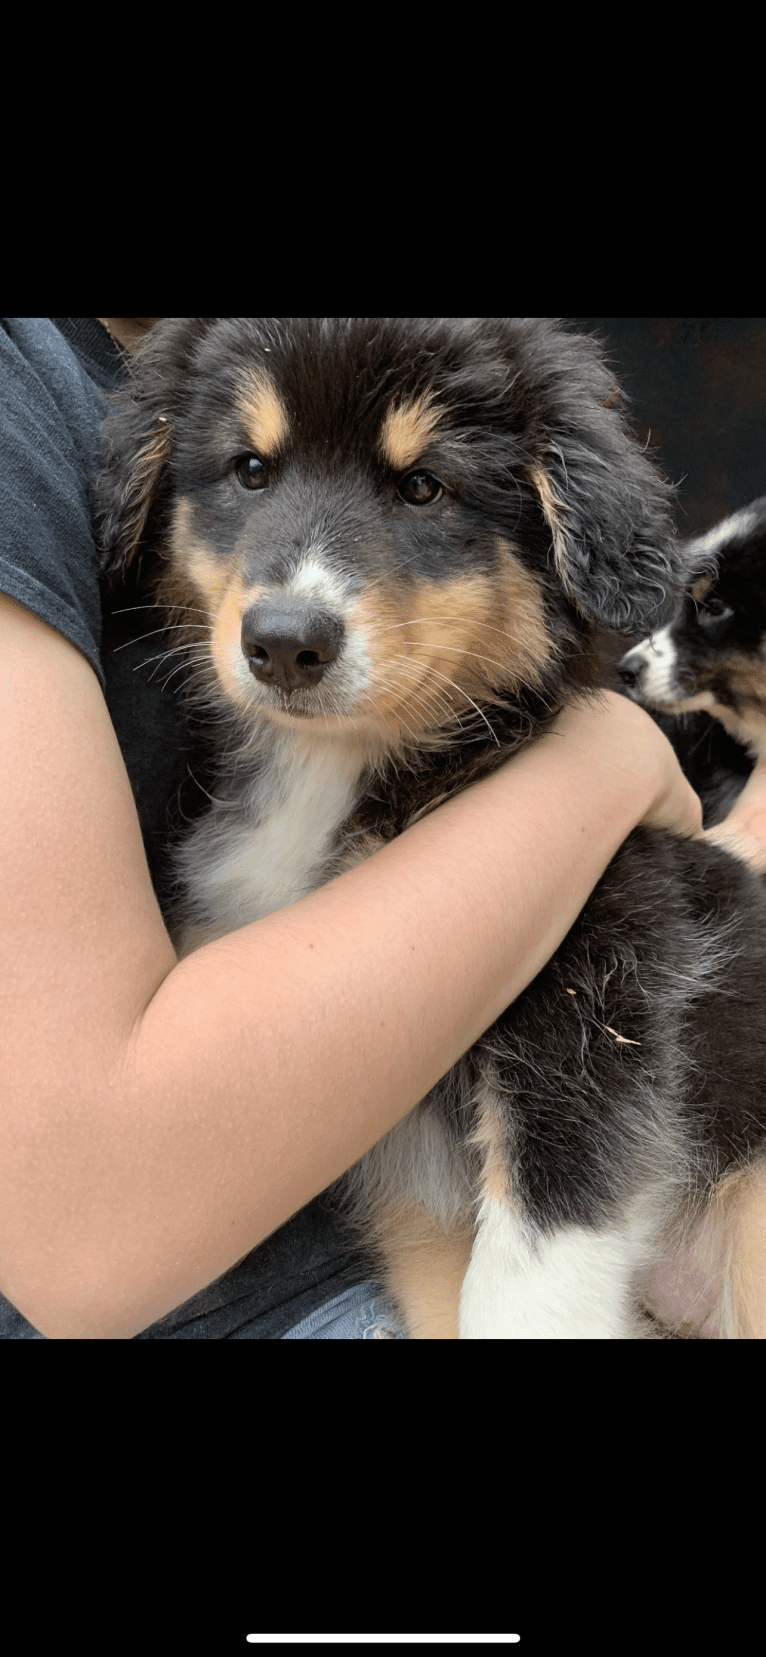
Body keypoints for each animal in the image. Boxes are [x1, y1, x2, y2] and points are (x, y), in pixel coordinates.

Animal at [94, 316, 766, 1338]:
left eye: (422, 487)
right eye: (250, 469)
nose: (284, 642)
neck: (338, 778)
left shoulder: (600, 985)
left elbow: (530, 1258)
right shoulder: (406, 1178)